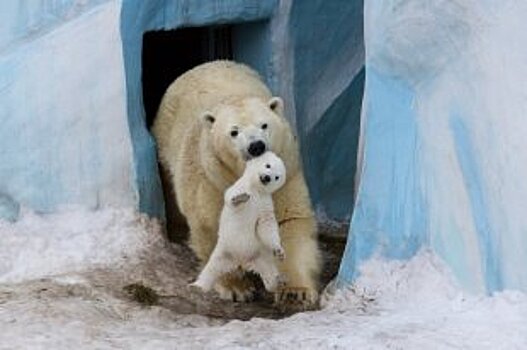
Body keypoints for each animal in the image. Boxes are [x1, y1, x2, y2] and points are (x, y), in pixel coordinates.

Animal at [191, 152, 286, 294]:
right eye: (268, 165)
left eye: (277, 177)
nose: (267, 177)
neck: (256, 190)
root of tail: (242, 262)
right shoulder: (239, 186)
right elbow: (231, 197)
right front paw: (240, 198)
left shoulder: (265, 203)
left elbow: (266, 224)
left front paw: (279, 251)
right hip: (224, 252)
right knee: (211, 269)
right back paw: (198, 285)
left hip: (259, 255)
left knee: (269, 270)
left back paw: (277, 283)